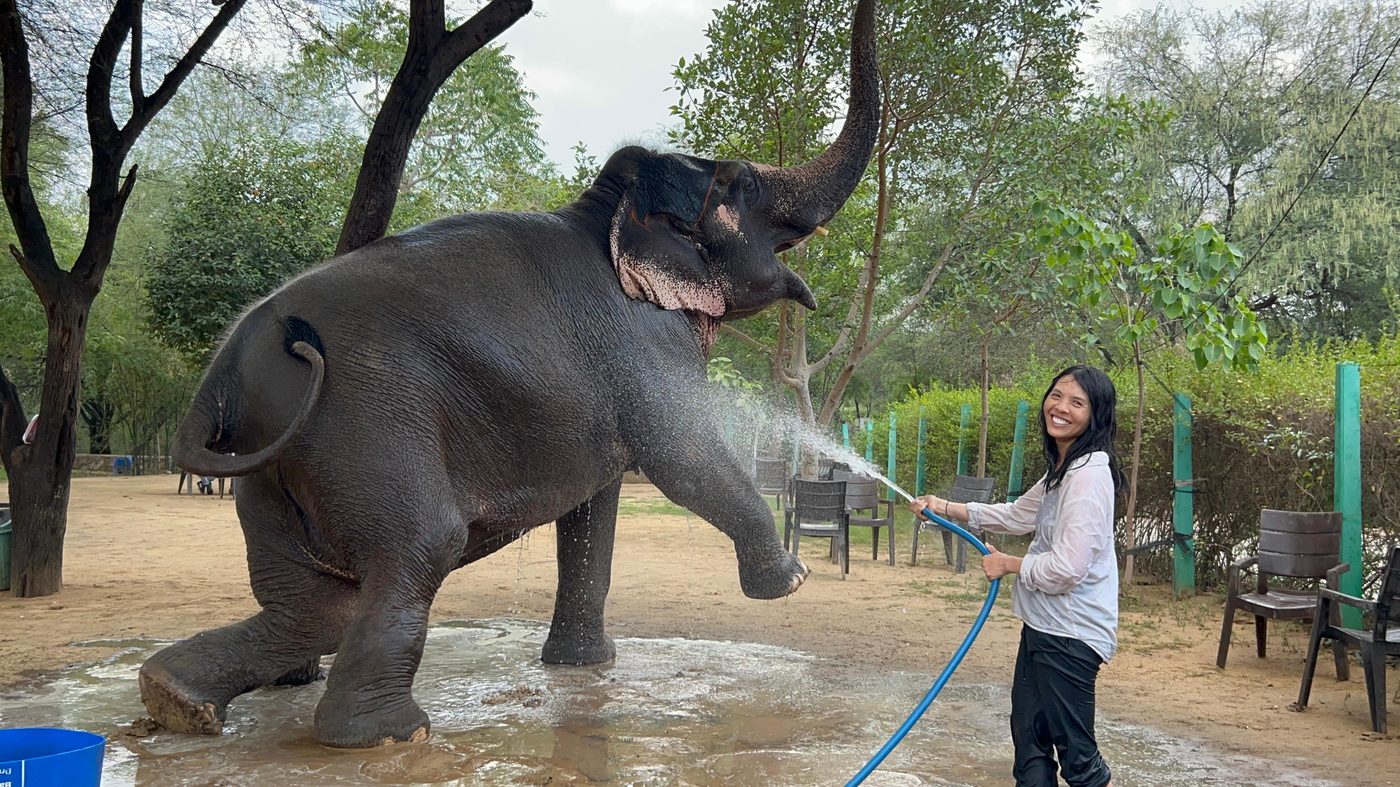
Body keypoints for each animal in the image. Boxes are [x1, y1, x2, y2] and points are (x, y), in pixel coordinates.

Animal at [139, 0, 879, 748]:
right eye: (743, 187)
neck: (610, 212)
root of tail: (225, 373)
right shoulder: (644, 342)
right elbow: (681, 453)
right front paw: (792, 579)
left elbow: (597, 505)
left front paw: (585, 667)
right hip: (363, 424)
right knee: (418, 546)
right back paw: (391, 735)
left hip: (271, 463)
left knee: (315, 601)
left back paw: (176, 697)